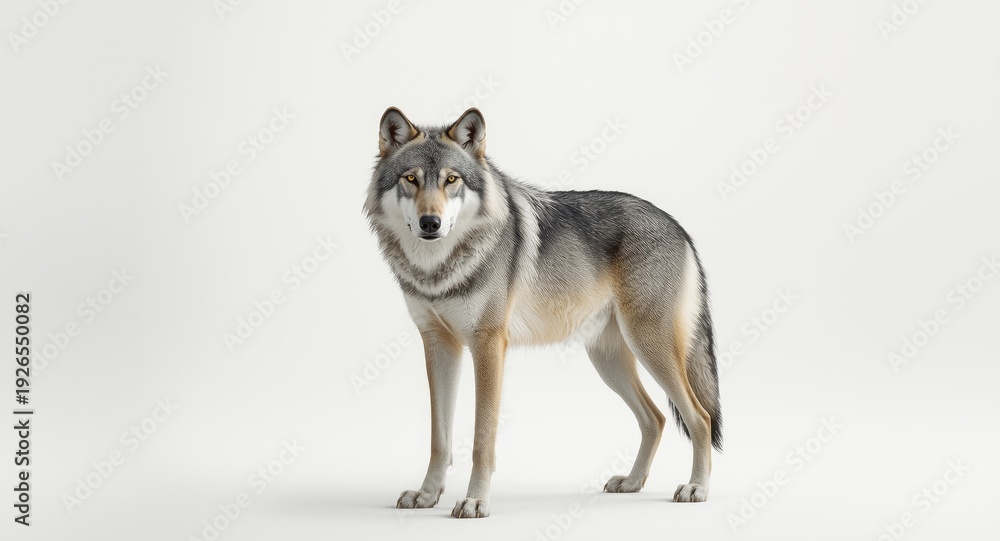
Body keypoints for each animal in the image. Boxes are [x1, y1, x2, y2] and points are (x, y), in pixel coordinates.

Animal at [364, 107, 722, 518]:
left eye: (451, 180)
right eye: (411, 179)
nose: (430, 223)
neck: (439, 270)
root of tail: (679, 227)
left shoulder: (488, 346)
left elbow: (481, 439)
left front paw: (475, 500)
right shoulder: (438, 344)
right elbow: (440, 438)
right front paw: (426, 495)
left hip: (651, 349)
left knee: (700, 417)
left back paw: (697, 487)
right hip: (609, 361)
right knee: (657, 418)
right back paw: (632, 482)